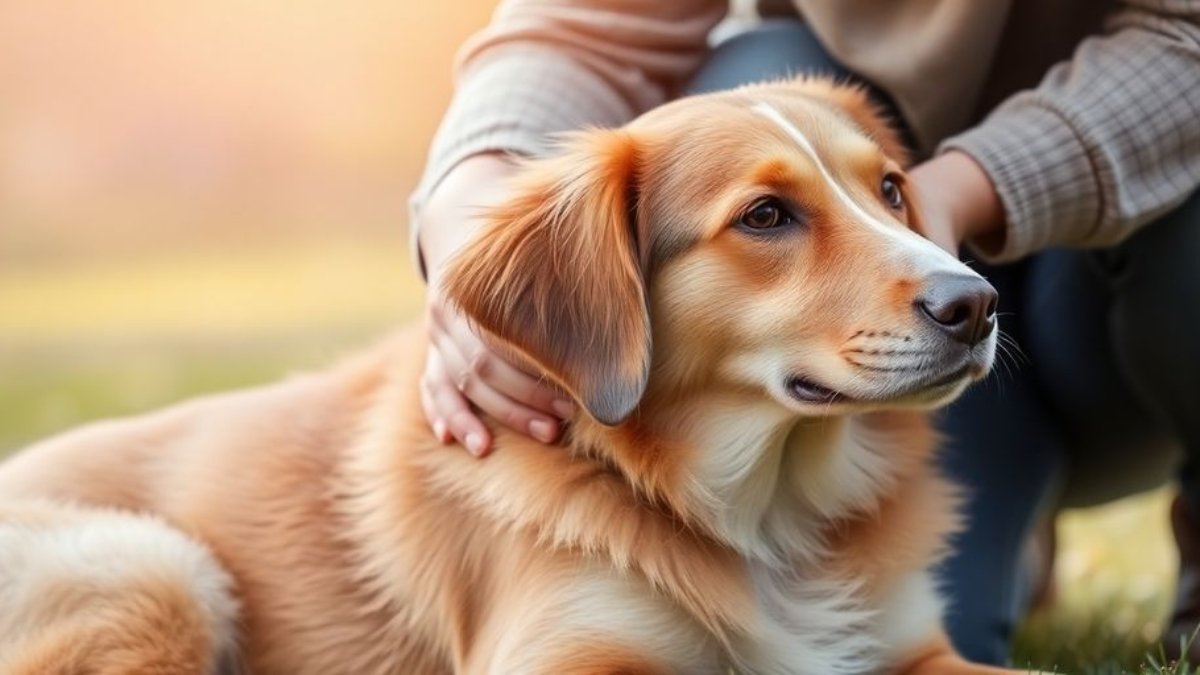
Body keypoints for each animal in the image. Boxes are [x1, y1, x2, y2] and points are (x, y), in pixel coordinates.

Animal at [0, 77, 1032, 667]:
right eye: (766, 216)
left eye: (892, 188)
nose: (976, 303)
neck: (762, 513)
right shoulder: (563, 656)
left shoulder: (913, 650)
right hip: (154, 570)